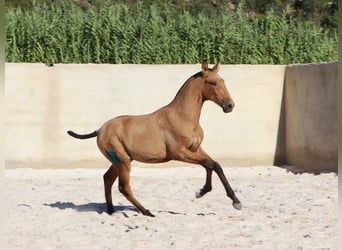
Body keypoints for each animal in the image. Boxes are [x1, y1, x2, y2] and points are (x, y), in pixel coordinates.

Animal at [68, 61, 242, 217]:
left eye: (223, 81)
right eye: (213, 82)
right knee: (123, 187)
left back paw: (111, 211)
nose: (230, 105)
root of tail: (100, 130)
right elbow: (209, 164)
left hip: (121, 160)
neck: (182, 117)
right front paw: (203, 192)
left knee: (107, 179)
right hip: (122, 161)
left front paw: (234, 200)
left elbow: (215, 165)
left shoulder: (196, 149)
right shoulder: (179, 153)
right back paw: (146, 212)